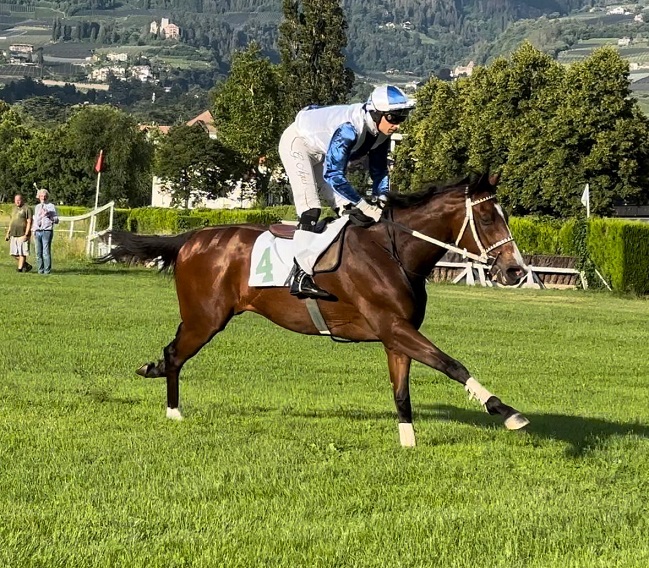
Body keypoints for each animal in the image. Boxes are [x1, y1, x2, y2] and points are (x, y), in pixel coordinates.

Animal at [100, 171, 528, 446]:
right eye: (487, 216)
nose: (515, 270)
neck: (392, 252)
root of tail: (190, 238)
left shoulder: (396, 334)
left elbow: (402, 391)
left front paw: (407, 441)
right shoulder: (393, 326)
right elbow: (452, 364)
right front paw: (506, 411)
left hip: (201, 318)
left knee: (171, 353)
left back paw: (153, 372)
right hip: (205, 319)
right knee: (175, 354)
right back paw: (173, 410)